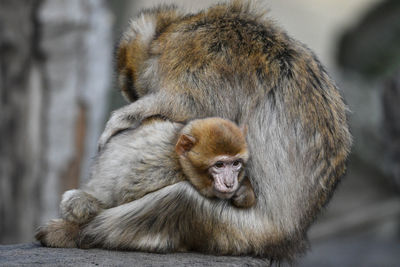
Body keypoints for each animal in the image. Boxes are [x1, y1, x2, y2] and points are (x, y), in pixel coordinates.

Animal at [54, 118, 253, 231]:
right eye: (219, 165)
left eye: (235, 163)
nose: (230, 183)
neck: (179, 162)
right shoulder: (157, 170)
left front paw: (244, 192)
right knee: (79, 203)